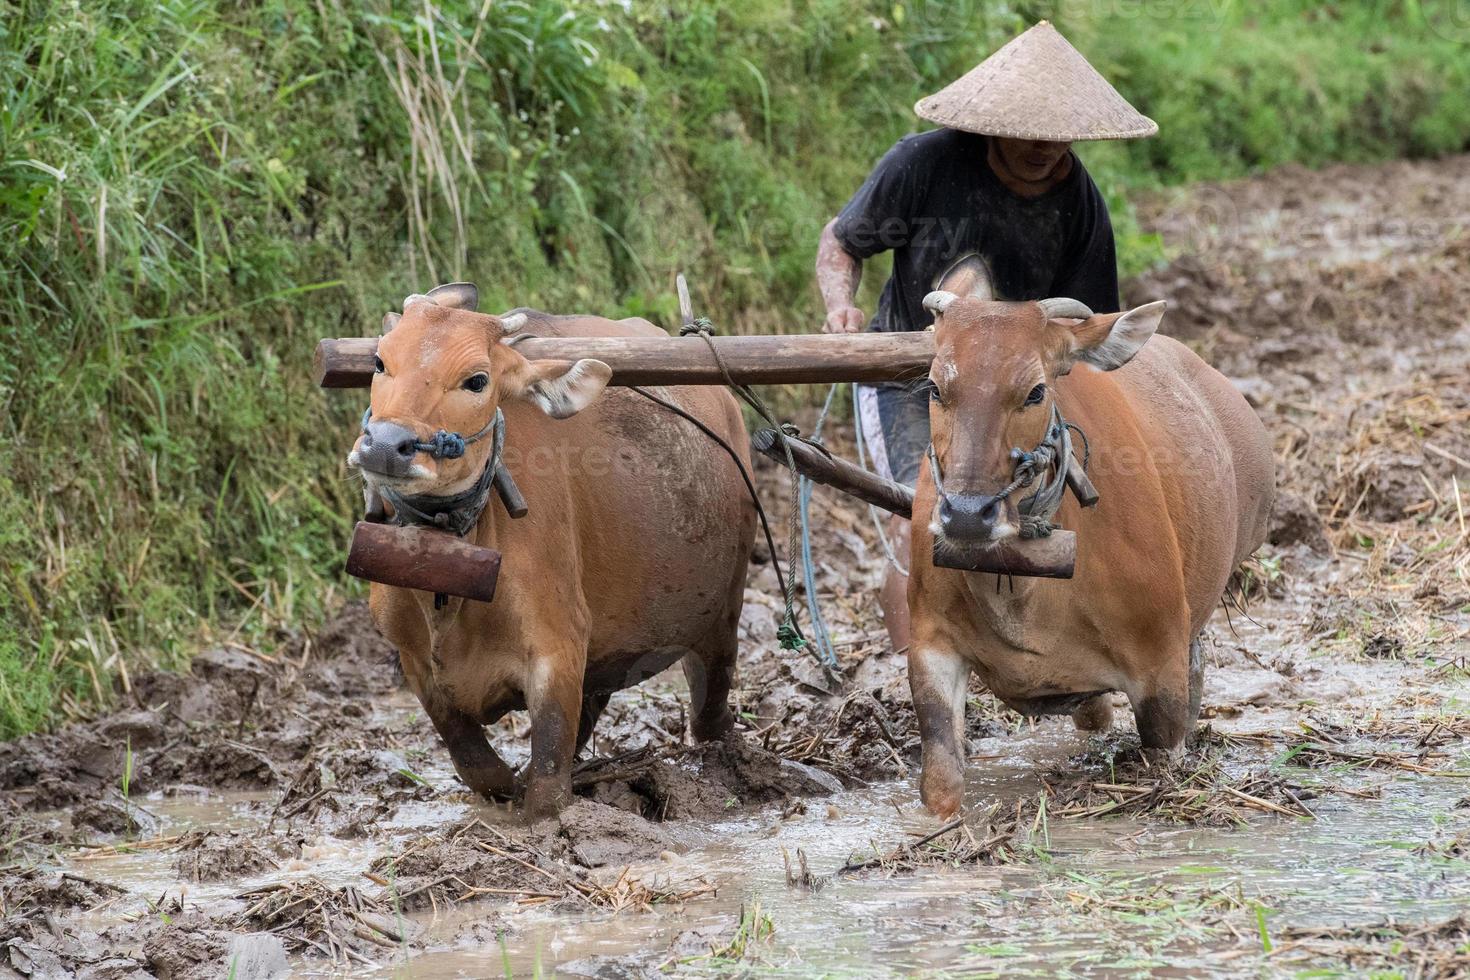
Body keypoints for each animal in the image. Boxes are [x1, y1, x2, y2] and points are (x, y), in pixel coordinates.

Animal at [348, 285, 752, 822]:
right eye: (380, 361)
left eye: (477, 380)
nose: (385, 446)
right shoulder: (414, 660)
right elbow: (475, 762)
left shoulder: (557, 647)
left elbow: (547, 782)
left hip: (723, 611)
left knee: (709, 707)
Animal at [905, 271, 1275, 816]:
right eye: (936, 386)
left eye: (1035, 391)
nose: (968, 516)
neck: (1023, 587)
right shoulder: (931, 645)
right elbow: (941, 780)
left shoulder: (1160, 671)